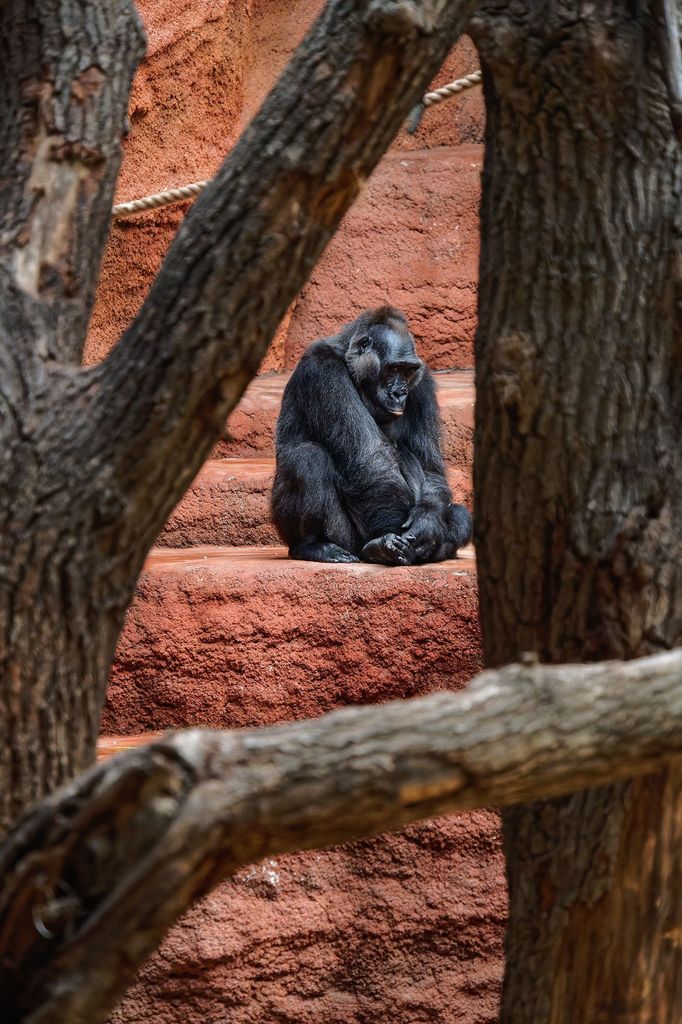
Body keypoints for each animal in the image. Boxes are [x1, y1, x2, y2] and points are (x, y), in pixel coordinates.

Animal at [268, 307, 471, 565]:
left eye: (408, 371)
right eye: (393, 369)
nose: (400, 393)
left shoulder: (422, 383)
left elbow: (430, 468)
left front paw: (428, 523)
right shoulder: (324, 372)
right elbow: (368, 460)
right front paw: (389, 541)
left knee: (460, 514)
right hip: (345, 540)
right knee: (306, 458)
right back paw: (313, 546)